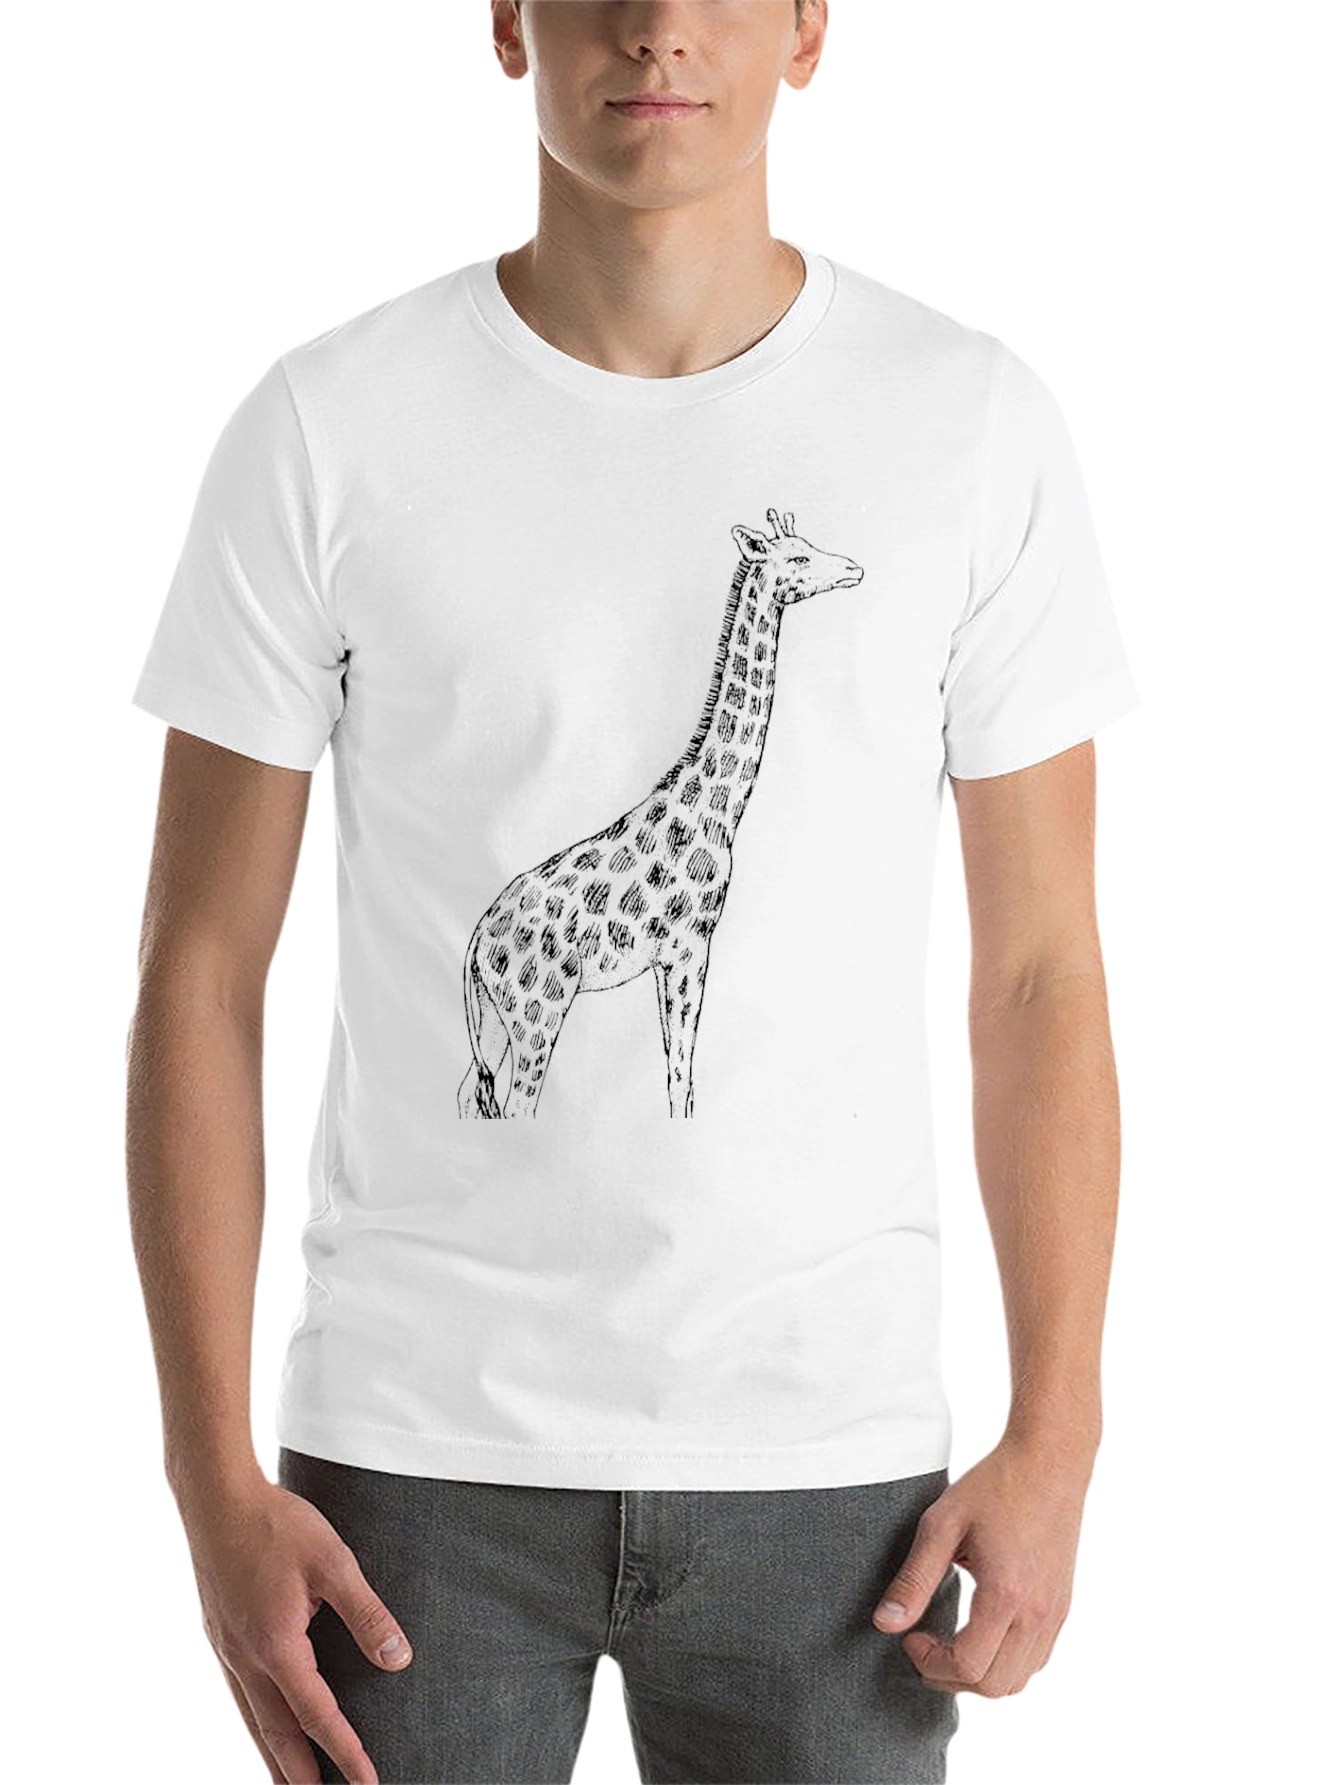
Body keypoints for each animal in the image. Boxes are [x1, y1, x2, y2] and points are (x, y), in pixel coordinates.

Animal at [457, 508, 864, 1119]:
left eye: (812, 545)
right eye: (797, 557)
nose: (853, 568)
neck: (719, 810)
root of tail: (476, 943)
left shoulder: (669, 958)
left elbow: (677, 1073)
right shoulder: (689, 946)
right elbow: (680, 1074)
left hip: (495, 1019)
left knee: (469, 1092)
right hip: (538, 1011)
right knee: (519, 1103)